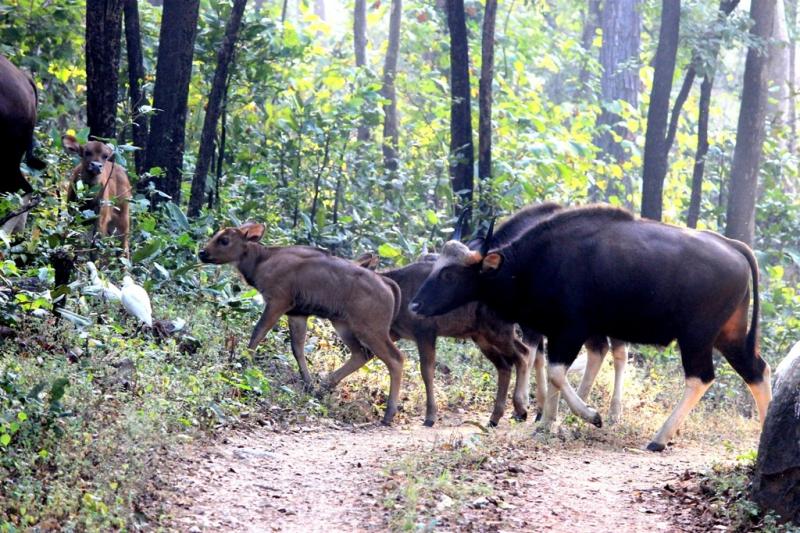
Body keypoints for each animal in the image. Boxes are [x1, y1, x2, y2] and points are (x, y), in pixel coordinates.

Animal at [197, 220, 404, 424]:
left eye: (224, 240)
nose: (202, 252)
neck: (260, 263)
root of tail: (390, 286)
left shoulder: (279, 300)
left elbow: (258, 333)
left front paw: (241, 364)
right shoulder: (297, 313)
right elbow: (297, 348)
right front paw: (308, 384)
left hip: (370, 327)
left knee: (396, 358)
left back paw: (388, 414)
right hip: (343, 323)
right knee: (361, 354)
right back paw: (323, 389)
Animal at [410, 204, 772, 448]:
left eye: (449, 274)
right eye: (436, 266)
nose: (414, 306)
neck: (534, 264)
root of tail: (734, 246)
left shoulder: (571, 330)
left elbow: (556, 372)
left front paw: (587, 415)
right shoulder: (561, 332)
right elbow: (555, 370)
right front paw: (548, 423)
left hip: (696, 335)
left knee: (701, 377)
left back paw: (659, 438)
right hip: (729, 334)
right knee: (757, 370)